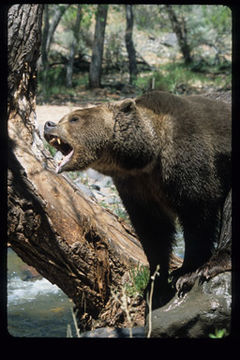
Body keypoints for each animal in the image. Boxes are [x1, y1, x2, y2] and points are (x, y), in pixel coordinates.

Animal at [44, 91, 232, 308]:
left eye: (74, 118)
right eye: (63, 118)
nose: (48, 124)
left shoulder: (188, 160)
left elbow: (197, 214)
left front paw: (187, 272)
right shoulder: (136, 186)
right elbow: (152, 230)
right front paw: (155, 285)